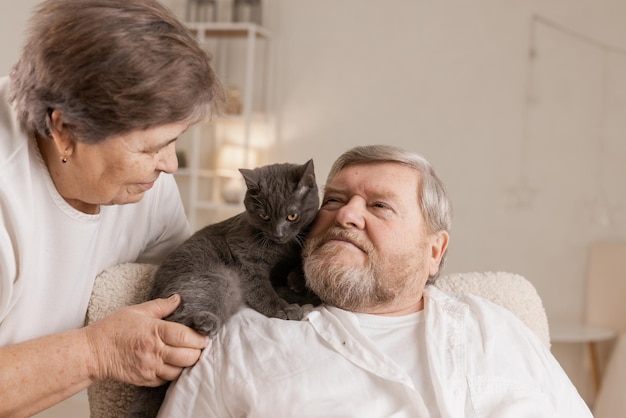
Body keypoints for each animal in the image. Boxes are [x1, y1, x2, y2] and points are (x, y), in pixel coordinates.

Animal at [129, 159, 320, 418]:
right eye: (264, 215)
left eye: (292, 215)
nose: (278, 233)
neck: (282, 249)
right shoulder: (247, 262)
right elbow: (263, 291)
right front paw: (285, 309)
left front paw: (299, 285)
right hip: (217, 280)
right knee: (177, 321)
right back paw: (204, 322)